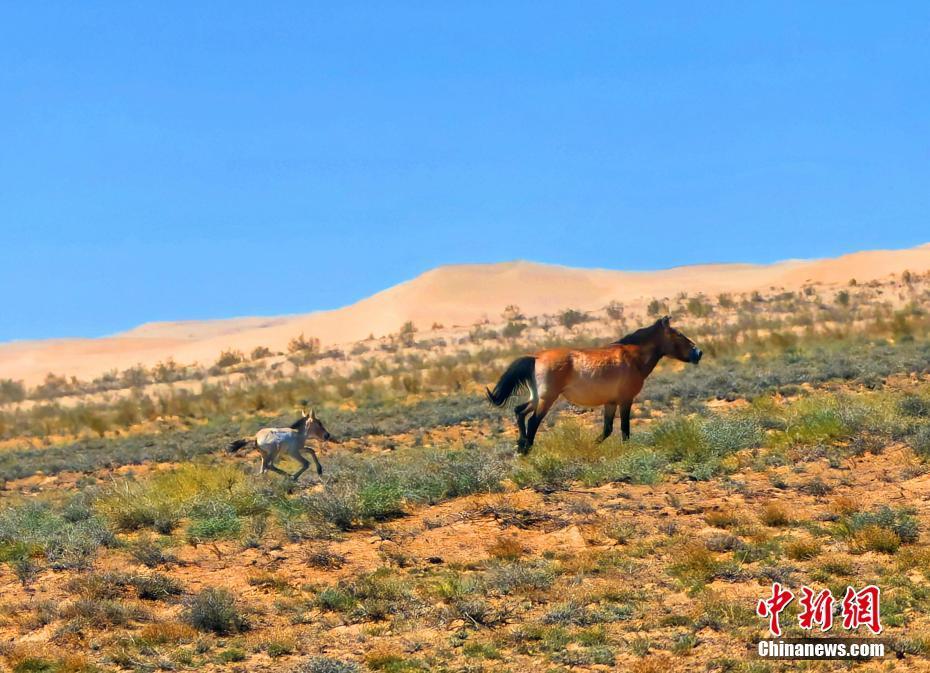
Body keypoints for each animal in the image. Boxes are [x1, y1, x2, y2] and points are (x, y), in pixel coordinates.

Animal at [490, 318, 700, 454]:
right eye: (679, 334)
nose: (698, 352)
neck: (633, 358)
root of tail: (536, 357)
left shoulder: (611, 403)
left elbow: (607, 430)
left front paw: (590, 447)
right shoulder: (626, 400)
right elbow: (624, 429)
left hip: (536, 397)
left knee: (519, 411)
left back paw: (520, 446)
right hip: (547, 398)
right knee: (533, 421)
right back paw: (527, 450)